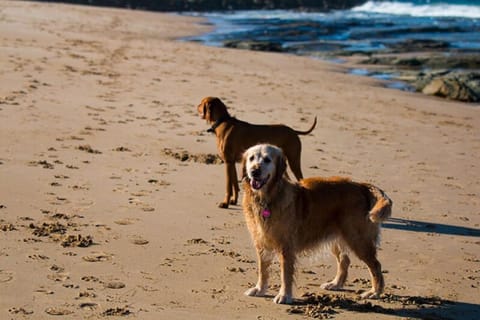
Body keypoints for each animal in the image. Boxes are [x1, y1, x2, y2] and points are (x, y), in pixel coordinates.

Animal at [242, 144, 392, 304]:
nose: (254, 171)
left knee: (375, 265)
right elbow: (262, 269)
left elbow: (285, 274)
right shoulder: (261, 242)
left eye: (267, 159)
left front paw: (284, 295)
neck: (266, 198)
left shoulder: (286, 246)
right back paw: (336, 284)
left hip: (358, 239)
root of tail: (361, 186)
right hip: (338, 237)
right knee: (344, 260)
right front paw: (259, 289)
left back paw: (374, 292)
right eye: (251, 158)